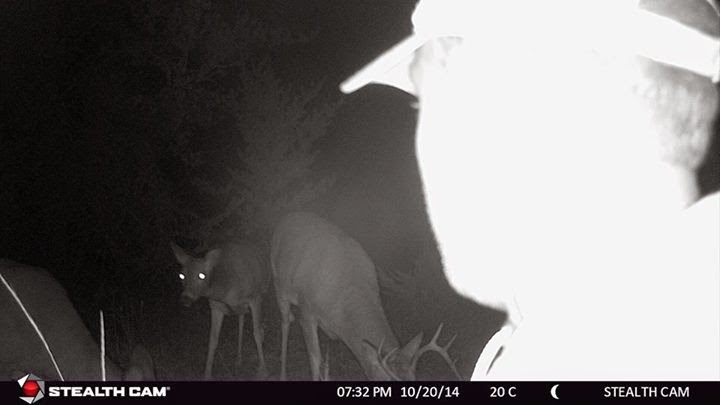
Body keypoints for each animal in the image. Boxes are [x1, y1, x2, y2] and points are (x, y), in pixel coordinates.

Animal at [171, 240, 268, 380]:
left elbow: (257, 334)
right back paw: (238, 359)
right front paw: (207, 374)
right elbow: (213, 339)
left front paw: (263, 371)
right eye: (181, 275)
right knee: (241, 321)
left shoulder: (255, 298)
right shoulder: (215, 306)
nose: (185, 298)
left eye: (201, 275)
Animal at [271, 212, 461, 381]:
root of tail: (288, 216)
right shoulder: (307, 309)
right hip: (279, 284)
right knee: (285, 322)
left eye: (414, 379)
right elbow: (315, 359)